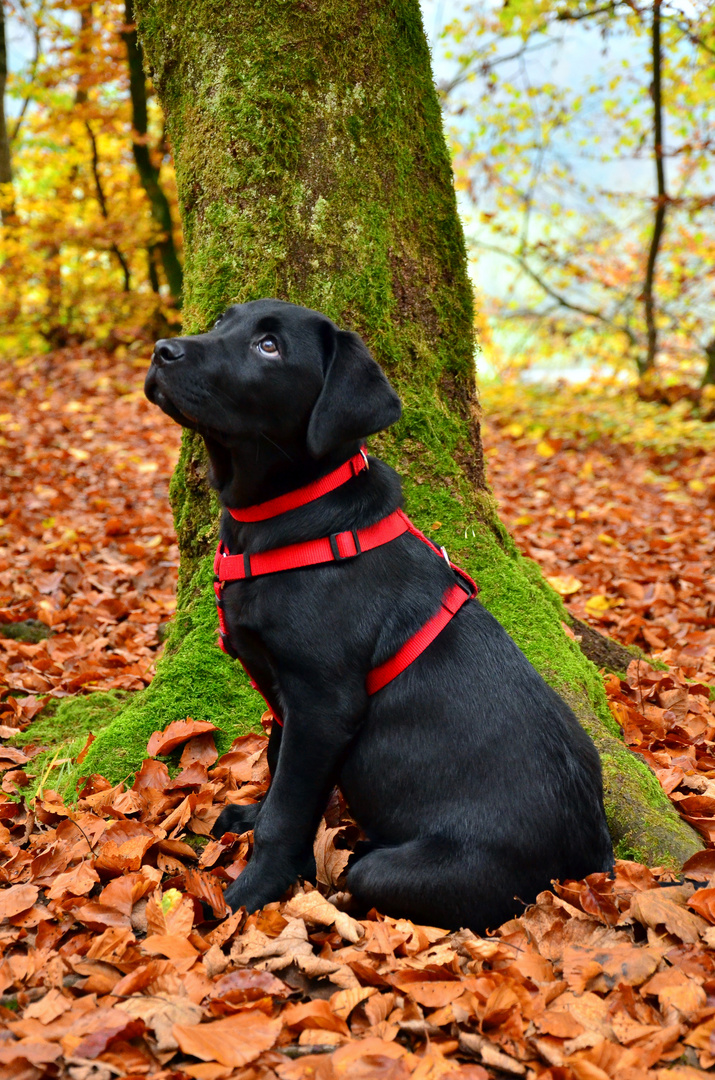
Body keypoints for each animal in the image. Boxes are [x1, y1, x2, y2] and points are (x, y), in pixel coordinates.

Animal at [145, 300, 617, 933]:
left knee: (375, 878)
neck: (289, 521)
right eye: (223, 321)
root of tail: (593, 864)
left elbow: (288, 810)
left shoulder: (323, 705)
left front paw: (252, 894)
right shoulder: (286, 696)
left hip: (418, 871)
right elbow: (275, 765)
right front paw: (251, 815)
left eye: (270, 347)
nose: (162, 350)